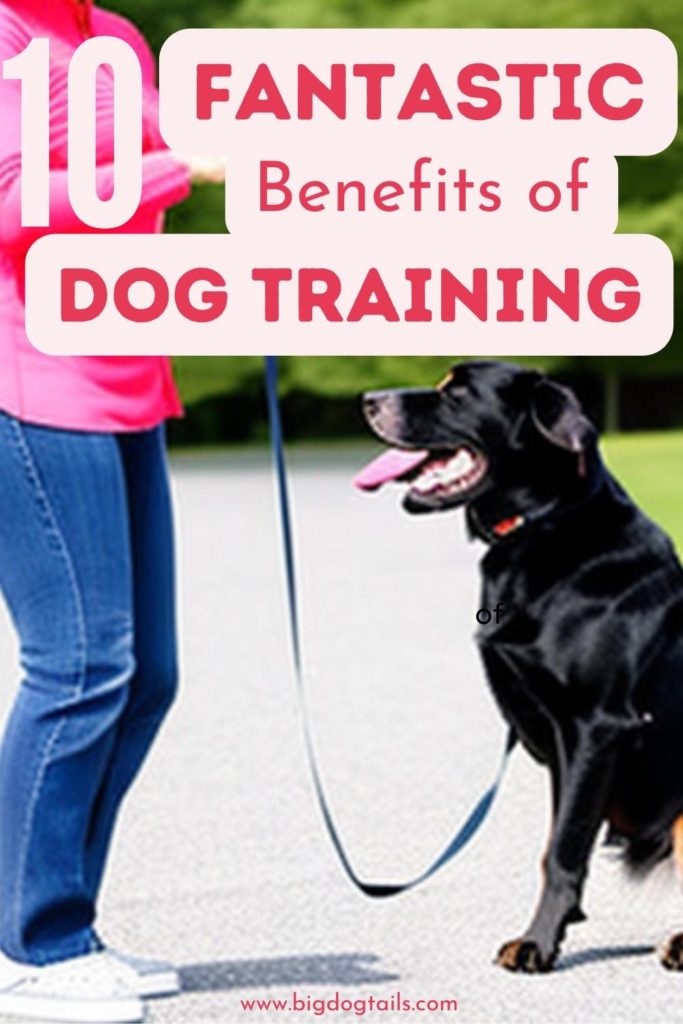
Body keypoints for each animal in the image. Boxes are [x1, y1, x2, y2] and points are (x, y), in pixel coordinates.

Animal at [360, 362, 683, 974]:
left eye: (458, 392)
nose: (368, 399)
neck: (545, 524)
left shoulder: (599, 726)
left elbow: (564, 848)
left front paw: (538, 942)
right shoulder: (561, 737)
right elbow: (557, 842)